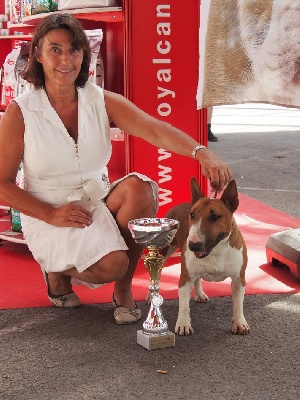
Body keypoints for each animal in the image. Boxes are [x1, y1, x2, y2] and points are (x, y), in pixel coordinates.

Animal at [163, 177, 250, 336]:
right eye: (192, 214)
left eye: (214, 216)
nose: (193, 245)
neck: (217, 250)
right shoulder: (185, 277)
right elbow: (183, 304)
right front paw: (183, 324)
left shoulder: (239, 278)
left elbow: (238, 303)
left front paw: (240, 323)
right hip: (165, 249)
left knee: (197, 278)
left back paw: (200, 294)